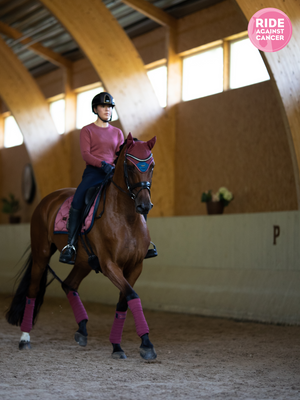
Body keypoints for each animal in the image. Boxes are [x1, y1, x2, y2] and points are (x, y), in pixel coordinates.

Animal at [5, 133, 157, 360]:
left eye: (152, 166)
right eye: (130, 167)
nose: (144, 205)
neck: (126, 218)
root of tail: (46, 201)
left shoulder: (135, 266)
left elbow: (124, 300)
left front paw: (126, 344)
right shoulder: (109, 265)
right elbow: (132, 295)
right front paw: (139, 345)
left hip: (84, 262)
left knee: (69, 285)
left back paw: (82, 330)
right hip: (41, 255)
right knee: (32, 291)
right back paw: (25, 339)